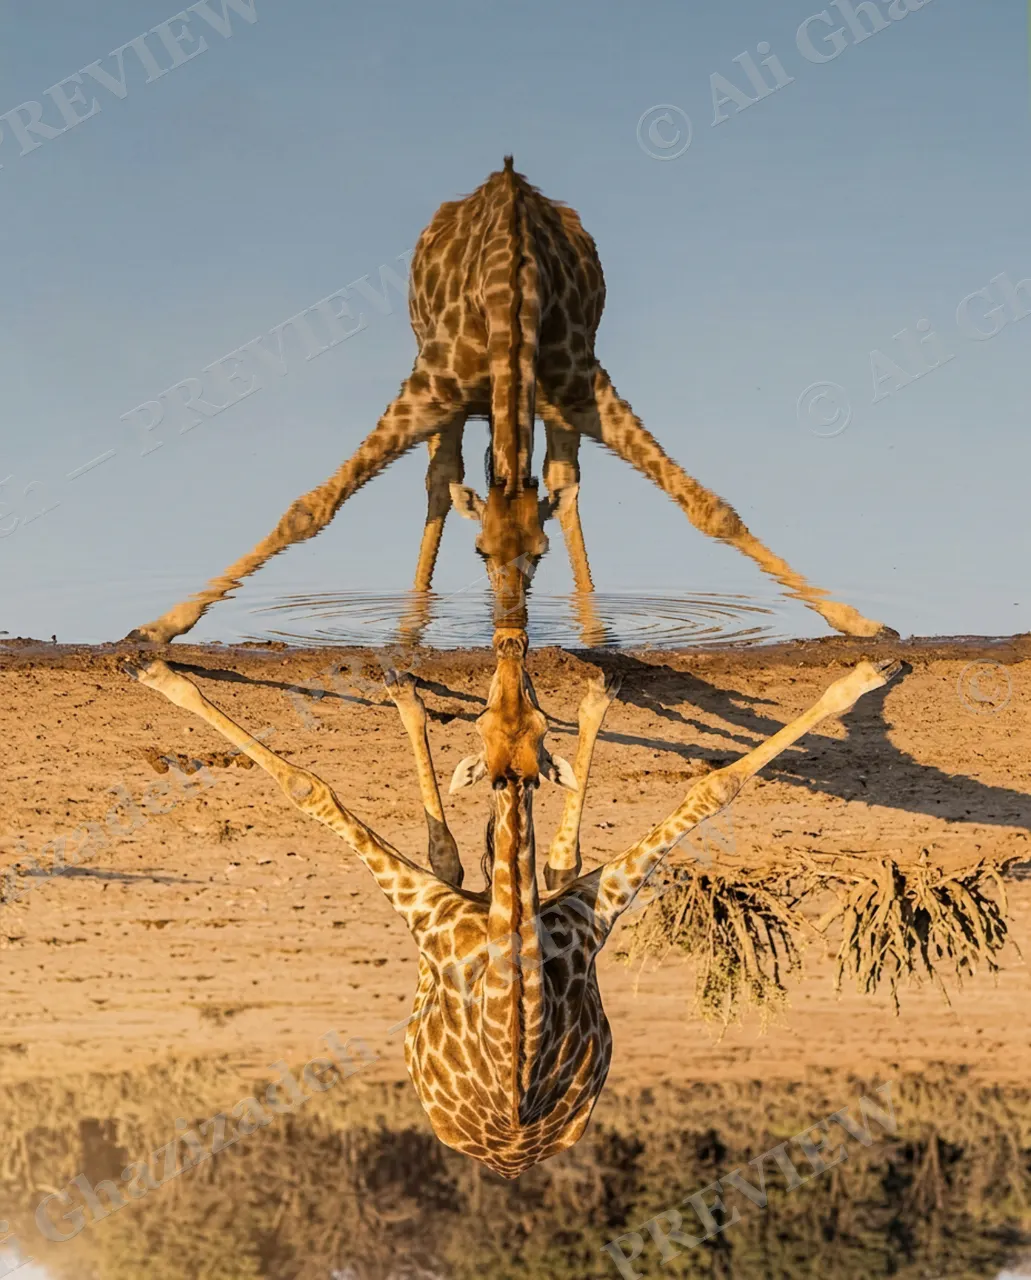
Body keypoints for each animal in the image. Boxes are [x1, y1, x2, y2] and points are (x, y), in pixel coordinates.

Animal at [123, 646, 900, 1177]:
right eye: (489, 716)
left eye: (527, 717)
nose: (511, 659)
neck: (514, 964)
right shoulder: (585, 908)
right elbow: (710, 787)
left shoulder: (447, 914)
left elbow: (308, 787)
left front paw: (157, 671)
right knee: (535, 862)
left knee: (470, 859)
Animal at [125, 158, 892, 649]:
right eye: (480, 551)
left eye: (539, 556)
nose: (510, 629)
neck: (511, 292)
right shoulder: (428, 386)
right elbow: (310, 508)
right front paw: (158, 626)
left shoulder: (582, 383)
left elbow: (710, 508)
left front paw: (861, 623)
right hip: (440, 388)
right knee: (440, 482)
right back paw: (411, 629)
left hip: (548, 403)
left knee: (563, 482)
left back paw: (593, 629)